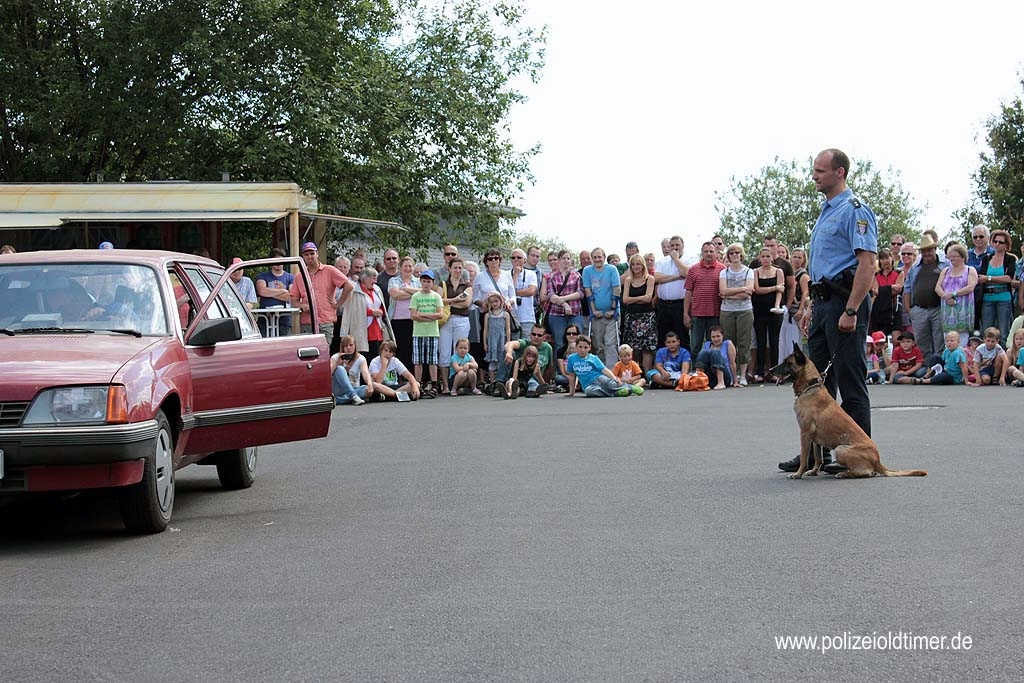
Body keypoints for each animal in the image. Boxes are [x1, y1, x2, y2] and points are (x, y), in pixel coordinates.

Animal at [770, 344, 929, 479]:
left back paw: (844, 473)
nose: (770, 371)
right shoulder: (815, 439)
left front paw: (798, 474)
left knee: (865, 472)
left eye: (786, 362)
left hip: (841, 449)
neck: (810, 386)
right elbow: (818, 458)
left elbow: (804, 458)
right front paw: (814, 471)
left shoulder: (805, 433)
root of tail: (877, 461)